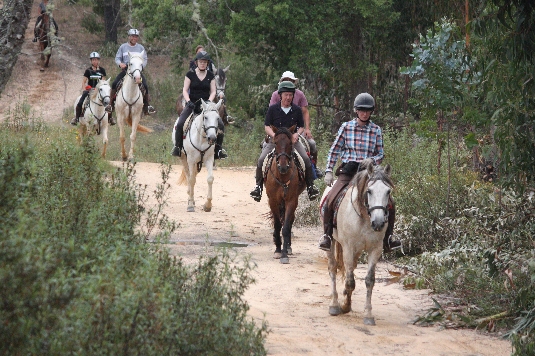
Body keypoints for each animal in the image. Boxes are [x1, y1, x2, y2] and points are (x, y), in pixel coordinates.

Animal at [264, 126, 306, 262]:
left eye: (290, 143)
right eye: (276, 142)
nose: (283, 167)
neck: (282, 177)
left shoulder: (291, 200)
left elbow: (286, 226)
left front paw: (284, 254)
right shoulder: (273, 200)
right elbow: (277, 225)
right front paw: (277, 250)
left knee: (291, 220)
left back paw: (288, 247)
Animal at [322, 159, 394, 326]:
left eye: (388, 192)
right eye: (369, 191)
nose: (378, 223)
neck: (365, 217)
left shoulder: (375, 250)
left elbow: (369, 280)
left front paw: (368, 315)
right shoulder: (348, 248)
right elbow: (350, 282)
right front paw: (344, 305)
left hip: (358, 250)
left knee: (352, 268)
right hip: (333, 243)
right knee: (333, 268)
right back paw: (334, 304)